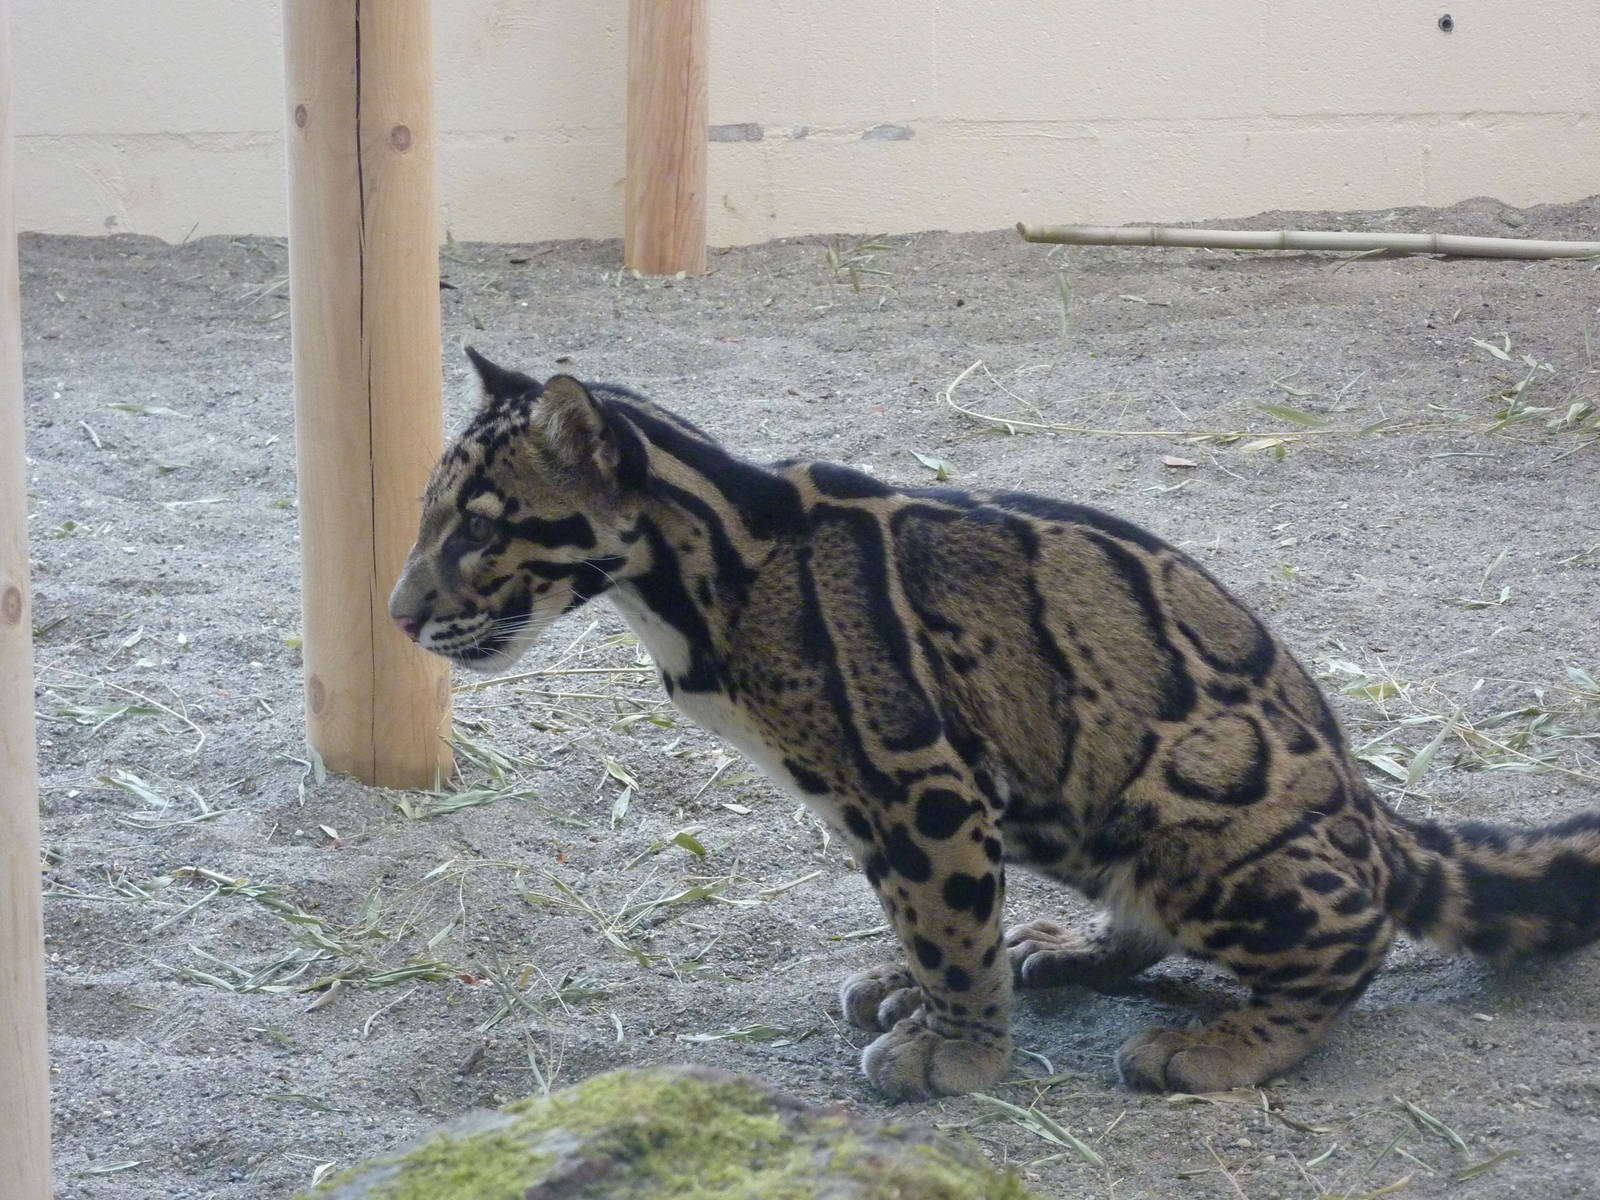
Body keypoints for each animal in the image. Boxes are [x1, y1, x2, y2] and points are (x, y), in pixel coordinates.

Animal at [389, 348, 1600, 1101]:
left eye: (478, 530)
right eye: (428, 519)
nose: (398, 615)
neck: (701, 573)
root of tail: (1371, 806)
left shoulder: (914, 777)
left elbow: (946, 923)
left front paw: (958, 1053)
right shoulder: (886, 806)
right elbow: (922, 918)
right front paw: (915, 994)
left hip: (1186, 819)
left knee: (1356, 934)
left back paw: (1224, 1042)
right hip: (1080, 817)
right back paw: (1063, 947)